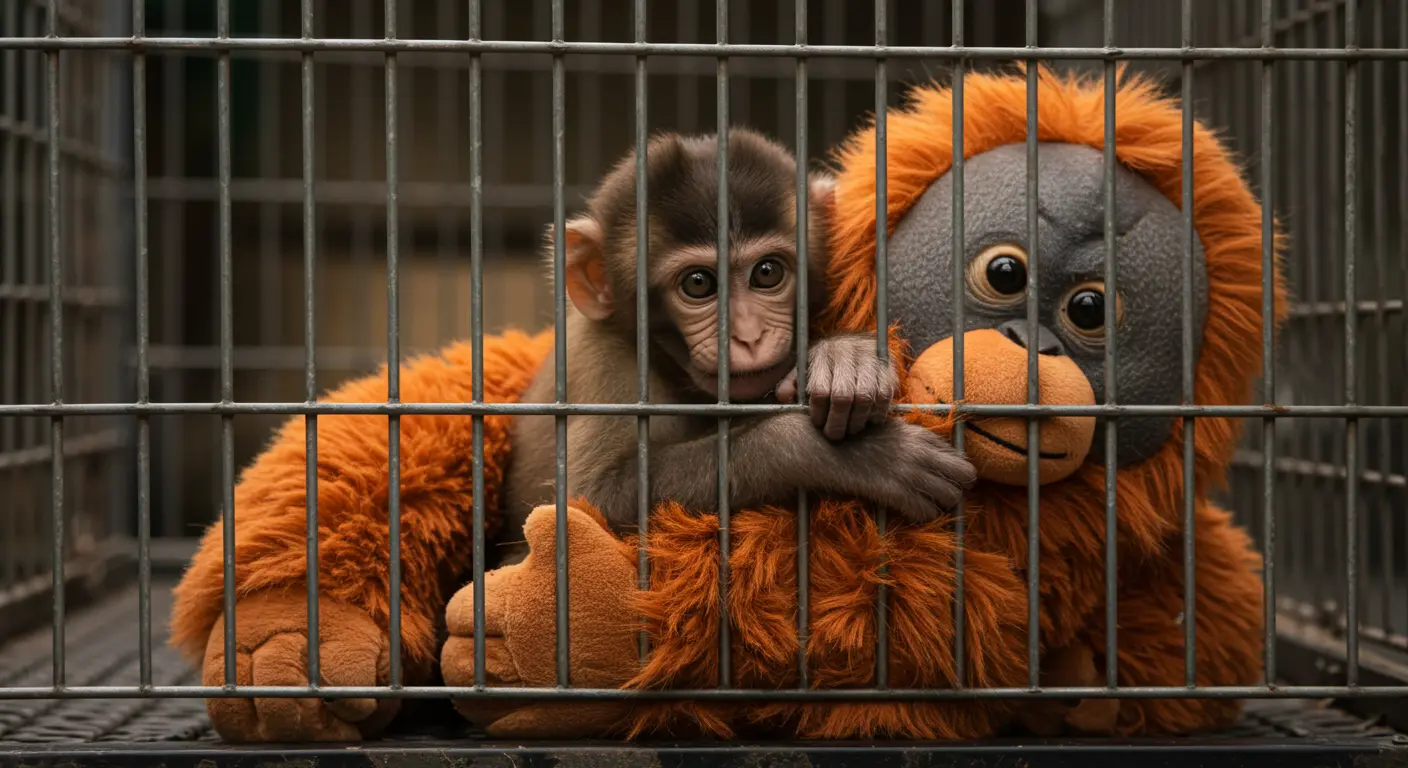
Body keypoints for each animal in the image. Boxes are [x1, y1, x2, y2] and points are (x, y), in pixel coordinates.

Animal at [496, 128, 975, 563]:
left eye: (767, 272)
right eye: (698, 283)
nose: (748, 335)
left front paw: (844, 358)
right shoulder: (607, 361)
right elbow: (587, 503)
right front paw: (844, 453)